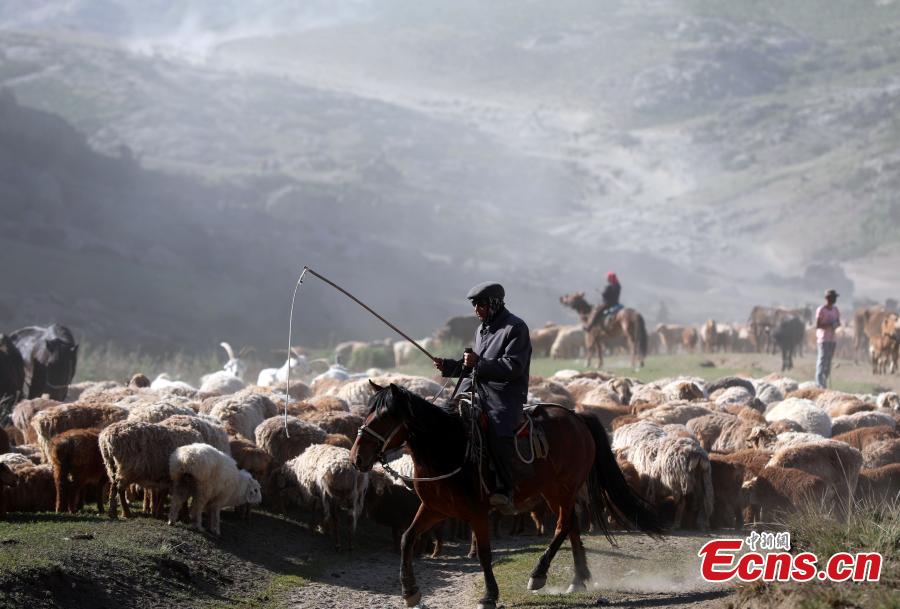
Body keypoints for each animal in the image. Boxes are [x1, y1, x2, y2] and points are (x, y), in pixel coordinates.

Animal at [350, 382, 663, 609]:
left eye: (384, 416)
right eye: (367, 412)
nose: (357, 458)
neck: (448, 448)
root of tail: (577, 417)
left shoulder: (476, 512)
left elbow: (484, 553)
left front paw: (489, 595)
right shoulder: (434, 508)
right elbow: (407, 539)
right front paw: (410, 592)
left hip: (564, 488)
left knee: (563, 526)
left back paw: (539, 574)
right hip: (553, 492)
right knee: (571, 526)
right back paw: (578, 578)